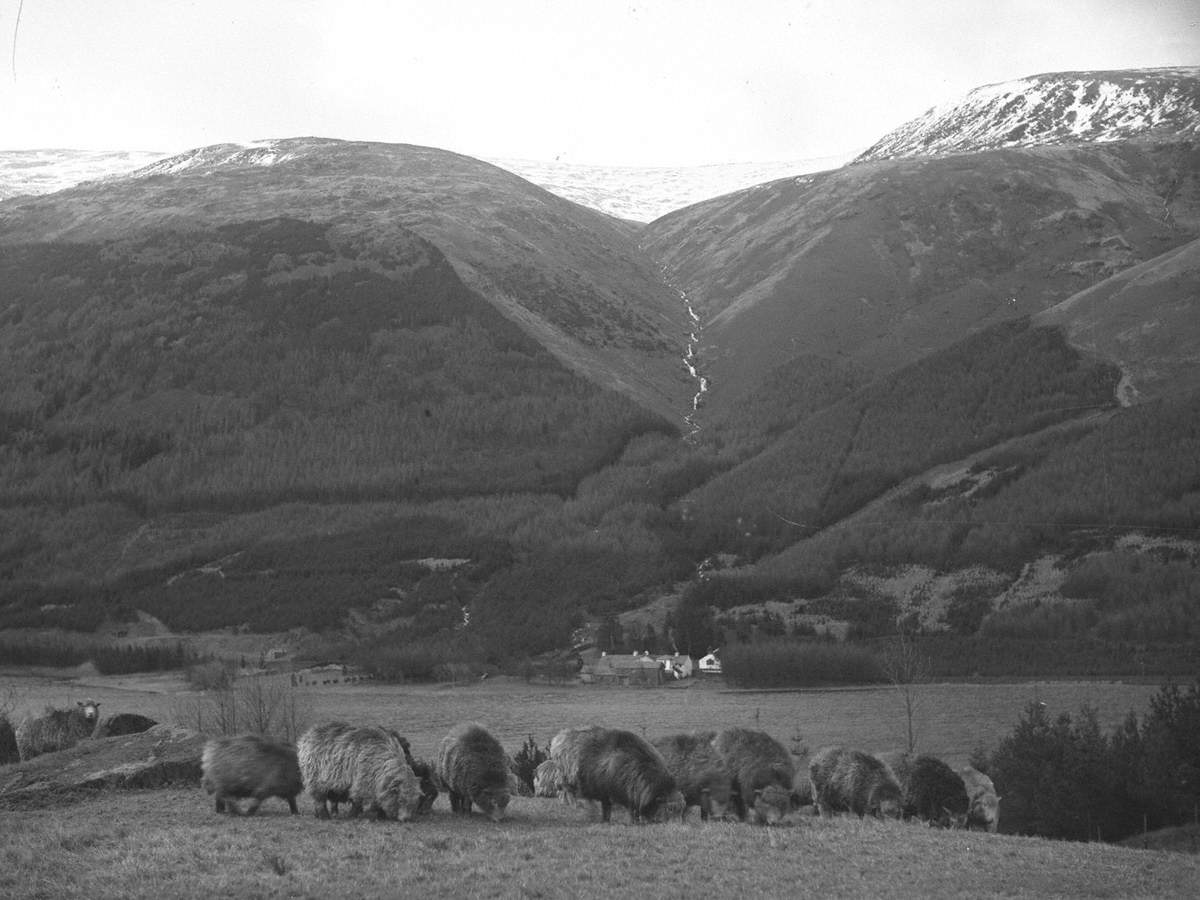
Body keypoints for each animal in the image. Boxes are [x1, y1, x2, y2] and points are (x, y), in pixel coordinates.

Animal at [296, 724, 424, 825]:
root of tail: (306, 737)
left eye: (415, 802)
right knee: (319, 800)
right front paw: (363, 817)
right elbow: (361, 803)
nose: (406, 819)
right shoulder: (363, 784)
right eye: (401, 800)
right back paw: (324, 816)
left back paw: (318, 815)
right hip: (314, 781)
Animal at [549, 724, 686, 825]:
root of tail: (559, 737)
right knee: (566, 795)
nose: (678, 826)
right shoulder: (615, 792)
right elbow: (619, 809)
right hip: (567, 780)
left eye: (681, 809)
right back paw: (579, 808)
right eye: (669, 809)